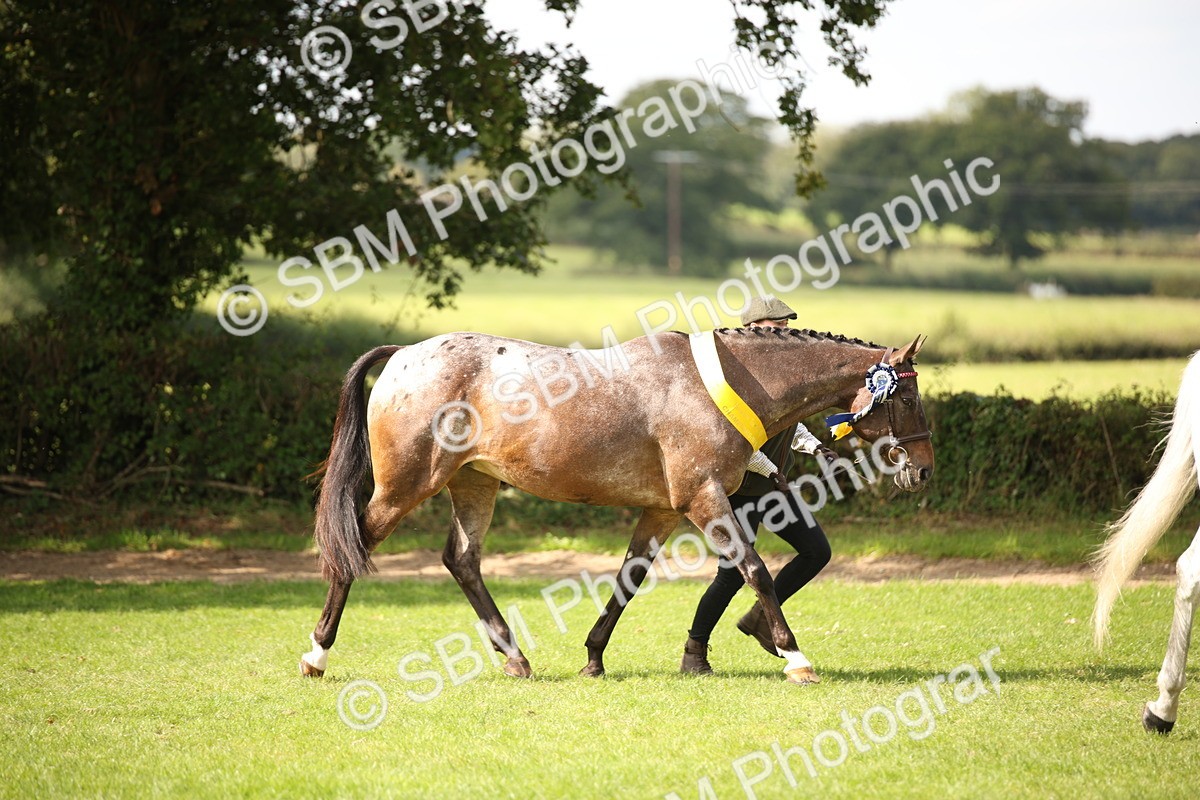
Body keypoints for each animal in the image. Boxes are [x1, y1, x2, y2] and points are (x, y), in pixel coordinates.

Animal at [299, 326, 935, 684]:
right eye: (905, 395)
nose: (923, 468)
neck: (721, 386)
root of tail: (406, 353)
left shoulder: (663, 511)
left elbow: (629, 580)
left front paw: (593, 658)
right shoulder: (704, 498)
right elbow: (755, 570)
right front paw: (796, 659)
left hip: (473, 483)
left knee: (462, 560)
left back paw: (515, 659)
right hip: (407, 486)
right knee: (353, 549)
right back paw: (316, 656)